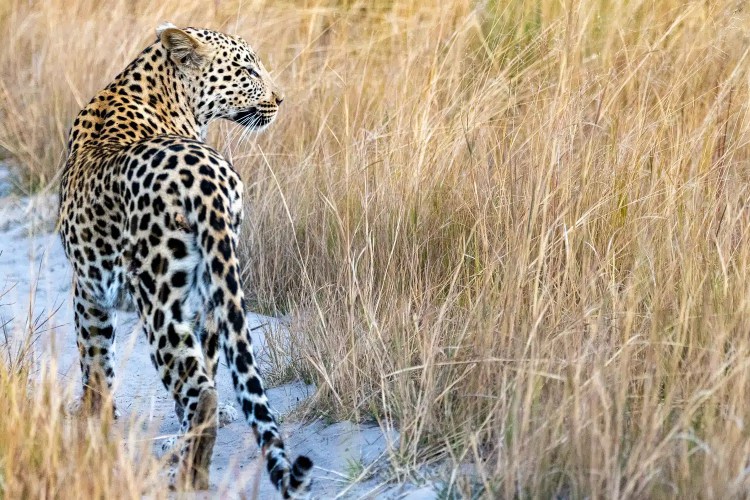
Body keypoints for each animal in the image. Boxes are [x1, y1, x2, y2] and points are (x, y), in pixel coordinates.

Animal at [58, 22, 313, 497]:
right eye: (248, 70)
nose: (282, 98)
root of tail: (205, 178)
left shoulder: (87, 287)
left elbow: (95, 362)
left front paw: (92, 425)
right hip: (212, 283)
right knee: (205, 377)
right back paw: (188, 457)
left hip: (156, 297)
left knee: (202, 390)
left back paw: (187, 477)